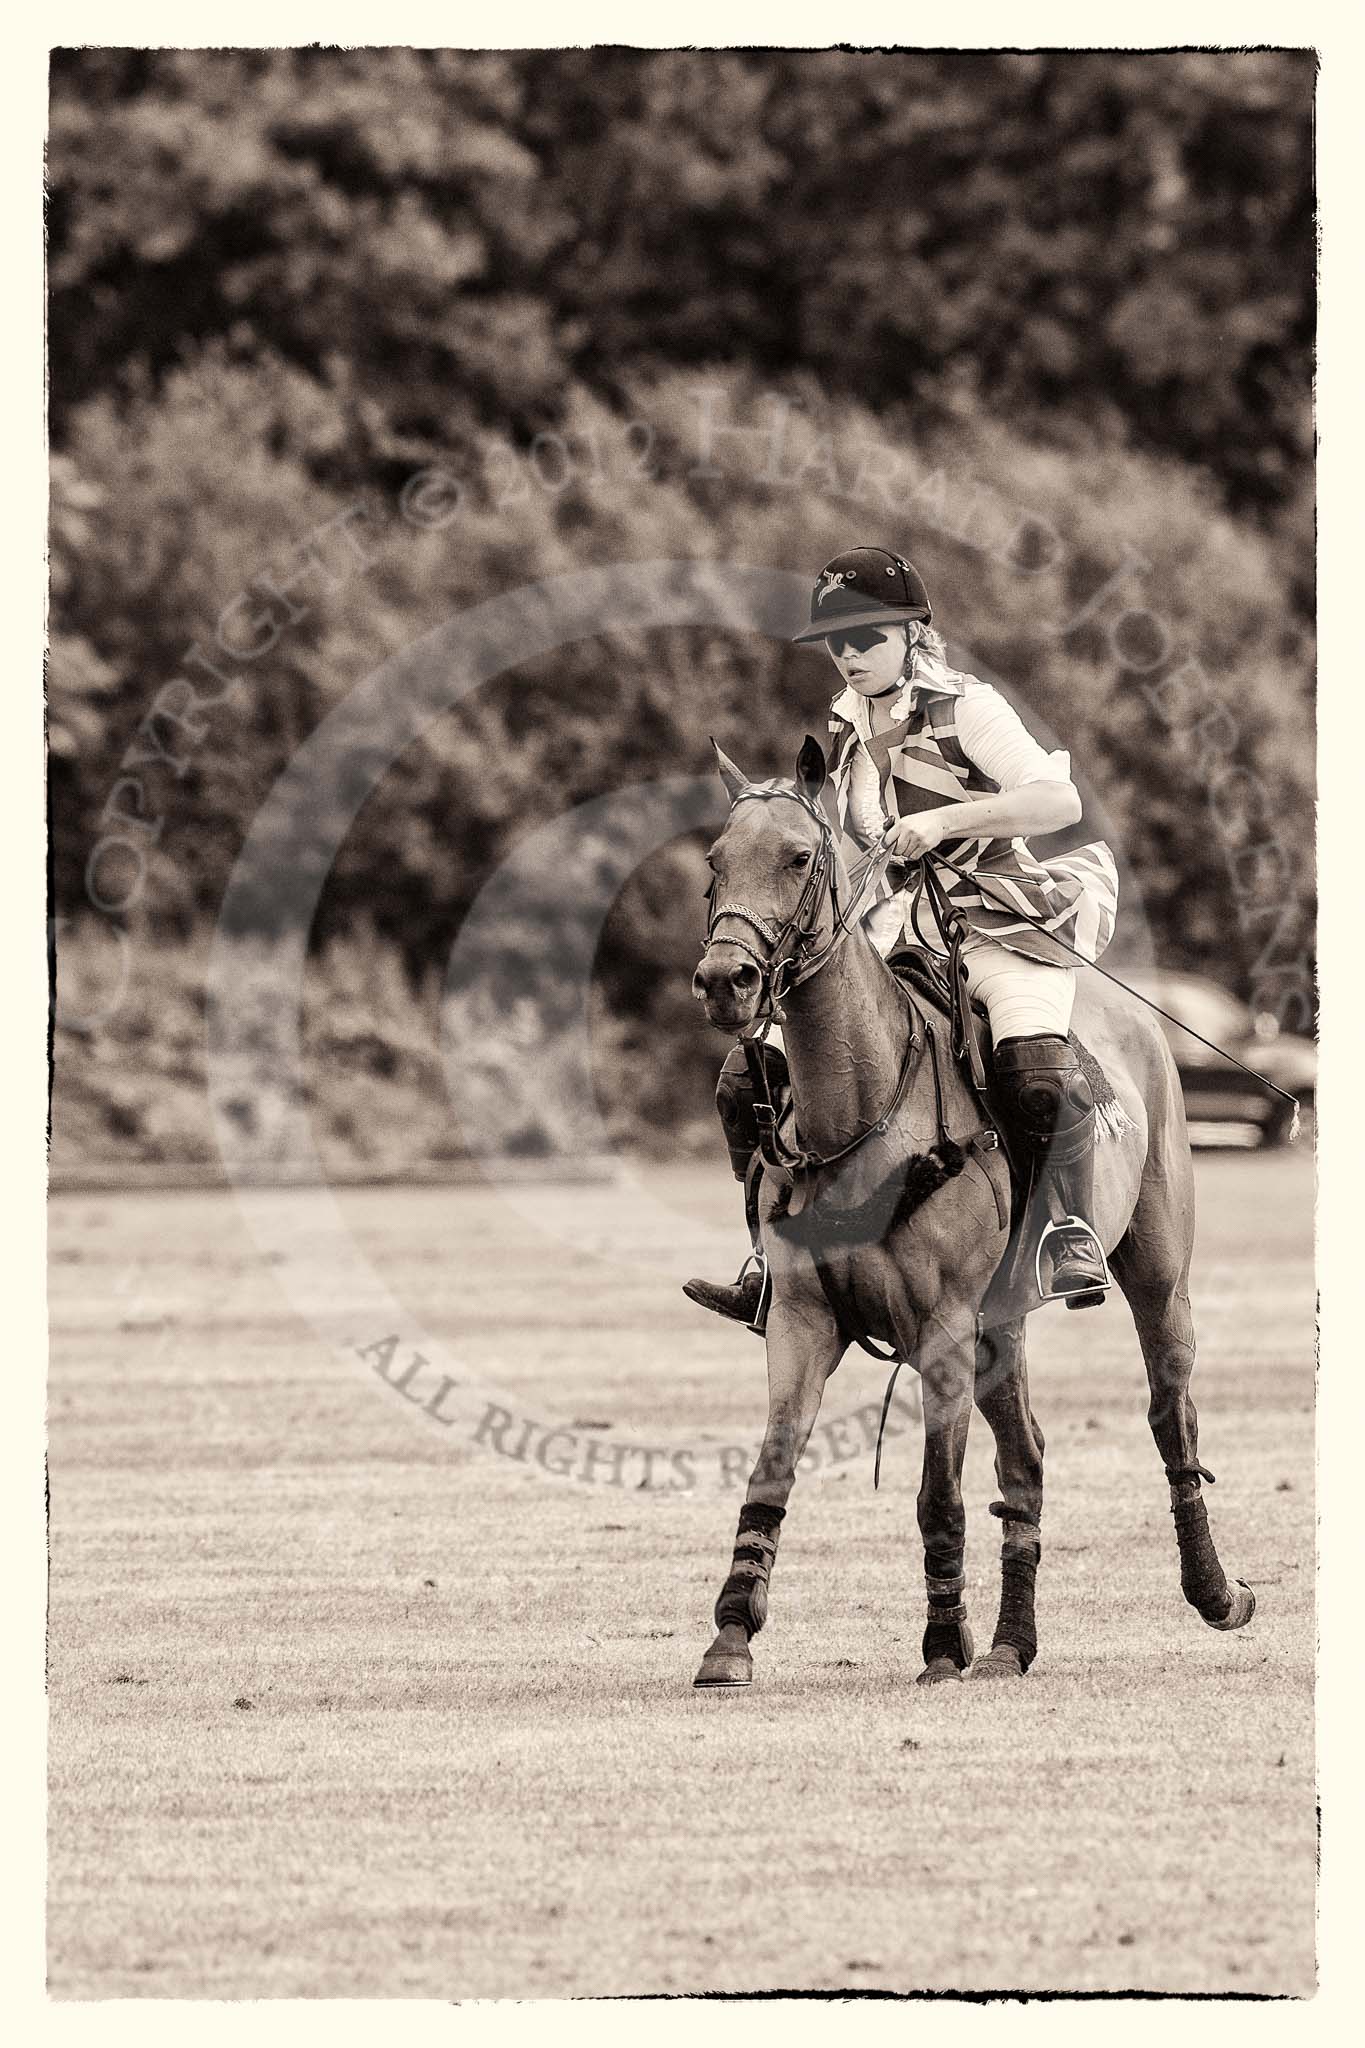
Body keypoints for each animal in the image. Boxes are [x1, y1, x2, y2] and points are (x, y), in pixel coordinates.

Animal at [687, 745, 1252, 1687]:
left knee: (1170, 1413)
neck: (861, 1109)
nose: (724, 981)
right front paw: (729, 1636)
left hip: (1154, 1273)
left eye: (799, 858)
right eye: (714, 864)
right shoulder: (801, 1319)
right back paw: (1010, 1644)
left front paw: (940, 1646)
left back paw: (1213, 1593)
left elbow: (936, 1496)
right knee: (1026, 1459)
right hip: (1004, 1319)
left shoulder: (943, 1327)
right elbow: (770, 1470)